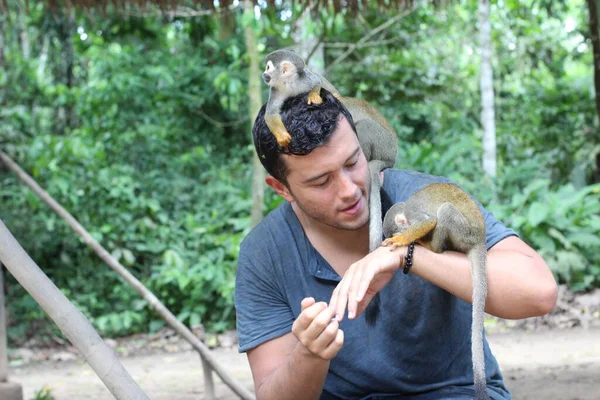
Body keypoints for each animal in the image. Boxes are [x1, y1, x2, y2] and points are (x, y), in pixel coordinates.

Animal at [378, 184, 490, 400]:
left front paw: (401, 240)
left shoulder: (414, 213)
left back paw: (432, 247)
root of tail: (481, 237)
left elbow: (428, 221)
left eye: (395, 231)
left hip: (466, 232)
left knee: (445, 211)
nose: (397, 234)